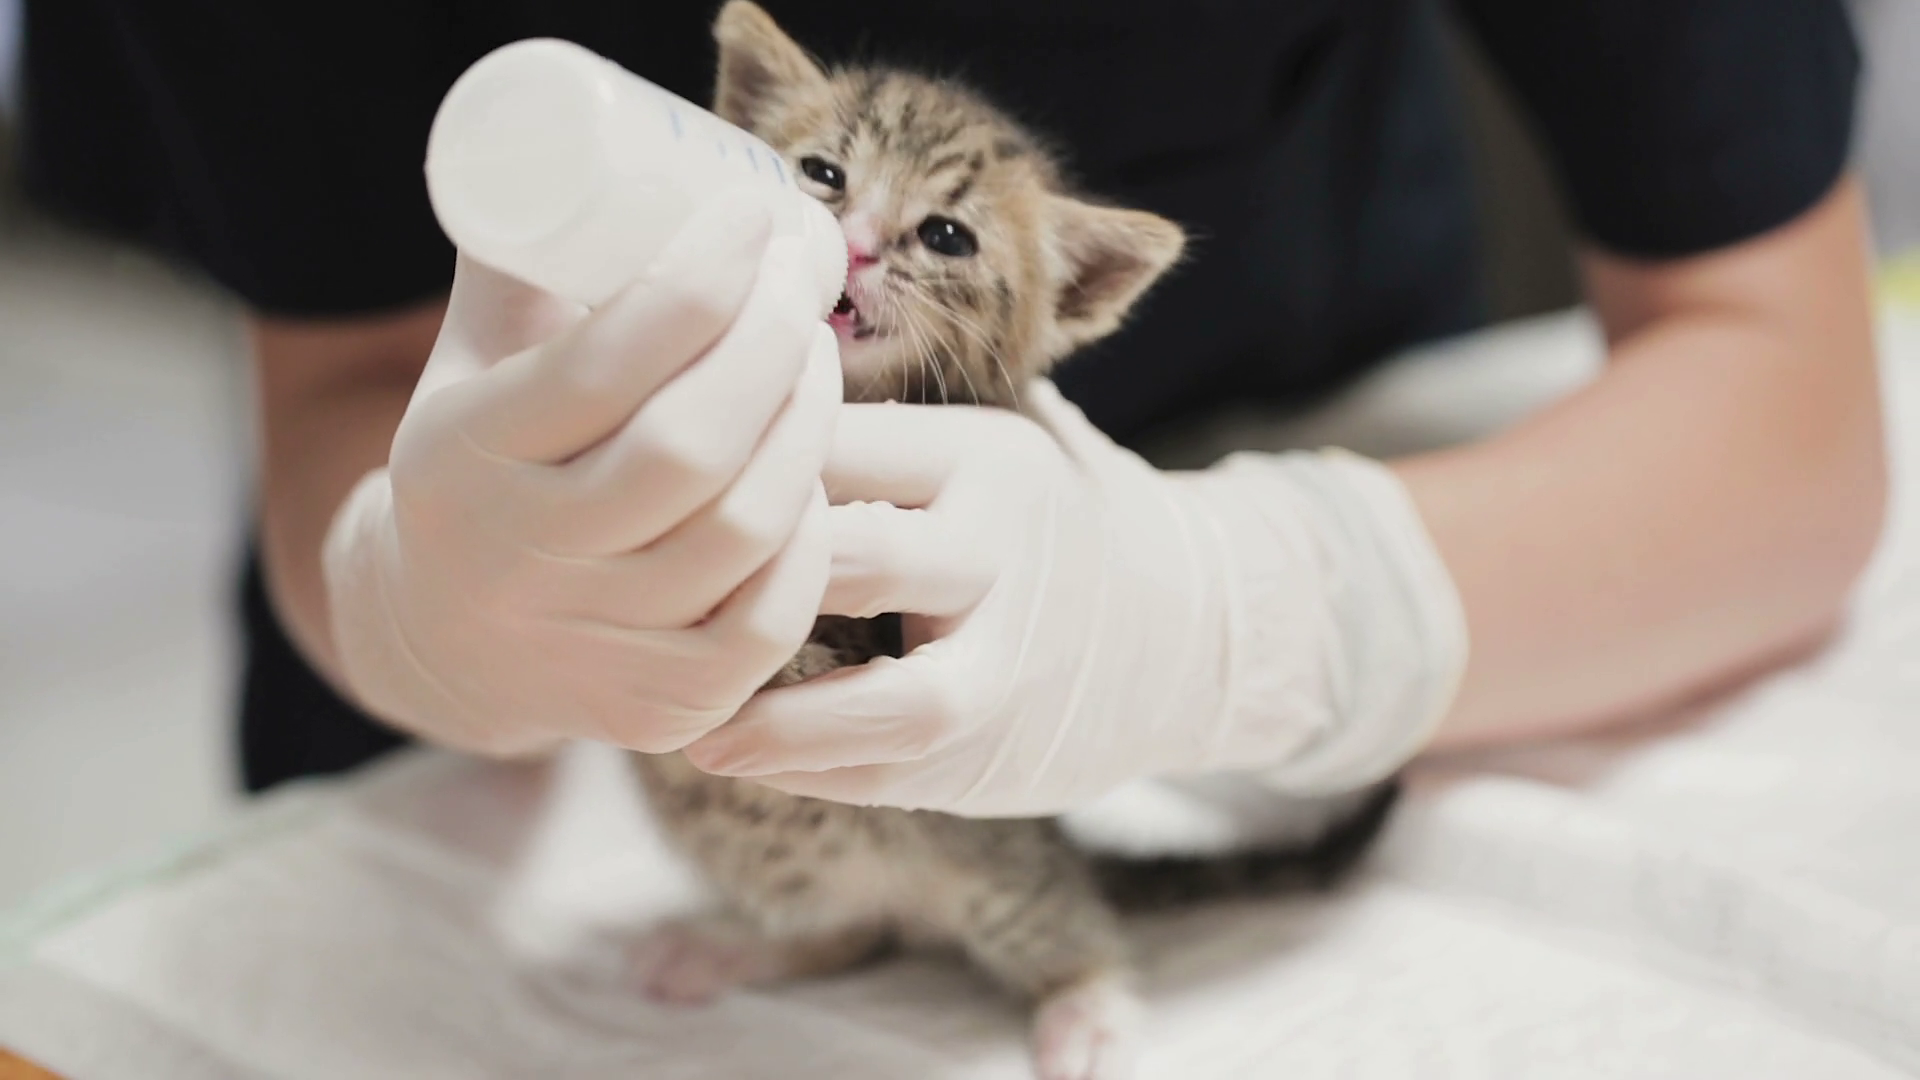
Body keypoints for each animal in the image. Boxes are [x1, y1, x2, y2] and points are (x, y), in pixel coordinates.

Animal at [626, 6, 1398, 1078]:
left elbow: (825, 649)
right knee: (843, 931)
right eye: (822, 173)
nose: (854, 248)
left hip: (990, 848)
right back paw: (735, 948)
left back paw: (1088, 1009)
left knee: (1054, 919)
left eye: (945, 235)